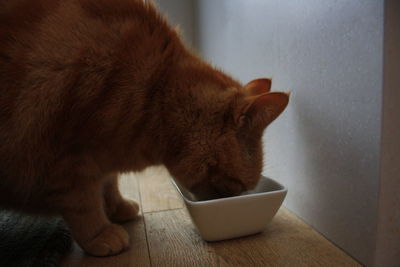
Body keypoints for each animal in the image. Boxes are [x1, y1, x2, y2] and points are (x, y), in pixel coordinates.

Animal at [0, 0, 288, 256]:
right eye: (236, 186)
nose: (236, 199)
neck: (155, 93)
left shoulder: (100, 156)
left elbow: (109, 182)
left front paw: (117, 208)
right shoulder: (68, 155)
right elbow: (83, 203)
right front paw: (100, 233)